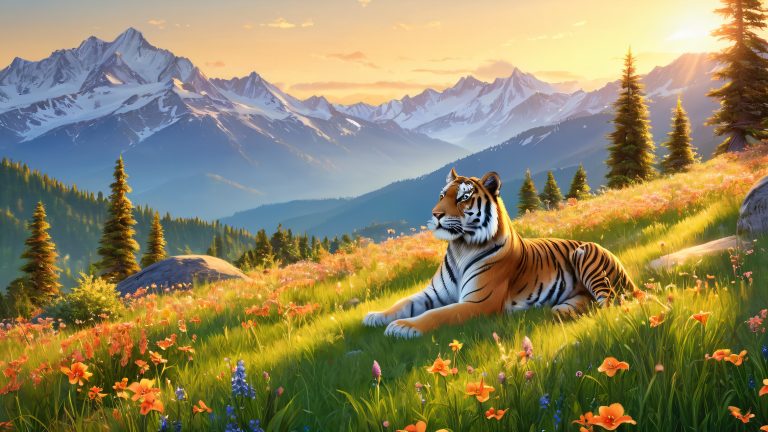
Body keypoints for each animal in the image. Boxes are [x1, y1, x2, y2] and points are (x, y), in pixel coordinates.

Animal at [363, 168, 637, 338]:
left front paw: (403, 327)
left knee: (610, 300)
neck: (460, 246)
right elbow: (402, 302)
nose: (435, 214)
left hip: (585, 254)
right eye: (442, 195)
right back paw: (560, 310)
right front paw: (376, 316)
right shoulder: (433, 293)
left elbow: (438, 314)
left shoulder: (478, 302)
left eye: (462, 198)